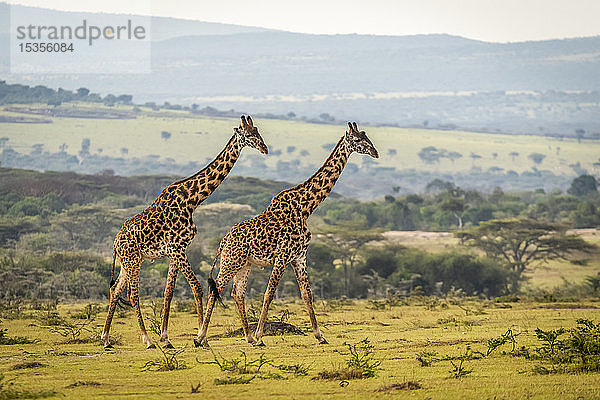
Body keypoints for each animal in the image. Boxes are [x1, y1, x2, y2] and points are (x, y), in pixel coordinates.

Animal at [101, 115, 268, 346]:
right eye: (250, 135)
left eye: (258, 131)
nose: (265, 148)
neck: (192, 199)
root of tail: (115, 243)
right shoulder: (177, 248)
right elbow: (196, 287)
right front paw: (200, 336)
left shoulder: (176, 251)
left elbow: (168, 292)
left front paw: (166, 337)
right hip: (133, 261)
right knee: (132, 294)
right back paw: (147, 339)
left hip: (130, 261)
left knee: (115, 290)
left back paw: (106, 338)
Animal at [200, 122, 380, 346]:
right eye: (357, 140)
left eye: (366, 137)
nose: (375, 152)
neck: (306, 207)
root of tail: (223, 241)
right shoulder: (283, 255)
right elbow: (269, 293)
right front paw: (260, 336)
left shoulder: (299, 257)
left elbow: (307, 294)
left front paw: (320, 336)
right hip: (231, 261)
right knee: (215, 288)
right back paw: (201, 337)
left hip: (245, 263)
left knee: (237, 293)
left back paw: (246, 337)